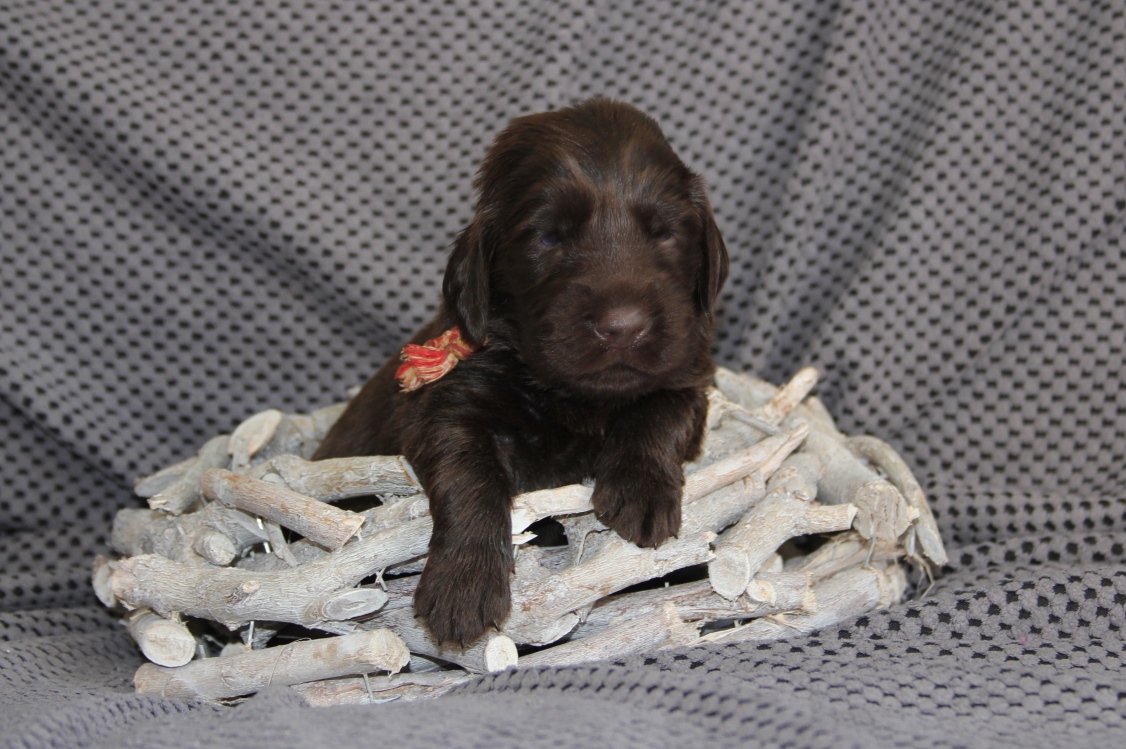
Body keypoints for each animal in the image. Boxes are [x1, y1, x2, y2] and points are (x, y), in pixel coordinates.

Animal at [314, 98, 728, 646]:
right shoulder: (448, 404)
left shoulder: (688, 370)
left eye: (665, 232)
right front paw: (464, 582)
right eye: (549, 237)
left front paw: (641, 489)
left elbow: (661, 409)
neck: (574, 400)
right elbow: (470, 472)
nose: (623, 328)